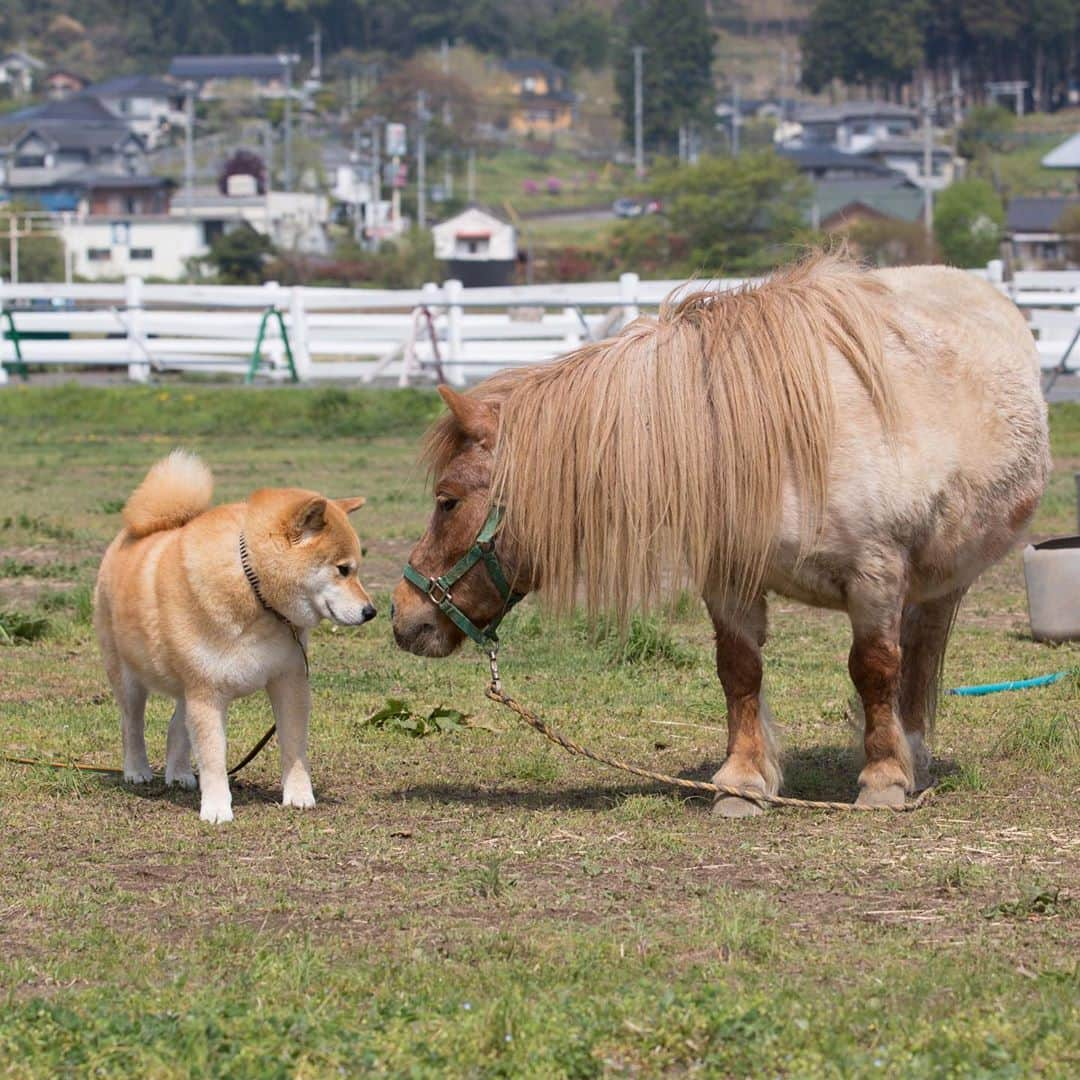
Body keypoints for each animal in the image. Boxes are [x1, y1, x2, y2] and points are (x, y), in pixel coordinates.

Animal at [93, 451, 380, 820]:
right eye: (343, 569)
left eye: (356, 568)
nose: (370, 611)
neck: (254, 590)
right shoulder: (207, 693)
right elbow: (214, 757)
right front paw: (217, 808)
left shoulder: (289, 681)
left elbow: (294, 747)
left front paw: (299, 795)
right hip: (129, 676)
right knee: (132, 725)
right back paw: (137, 770)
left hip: (187, 684)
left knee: (176, 727)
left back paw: (180, 773)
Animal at [393, 252, 1049, 812]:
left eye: (448, 501)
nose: (404, 615)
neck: (778, 439)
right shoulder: (729, 577)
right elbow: (739, 671)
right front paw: (743, 783)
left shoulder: (876, 574)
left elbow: (874, 670)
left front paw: (883, 779)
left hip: (941, 579)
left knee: (919, 653)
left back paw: (910, 753)